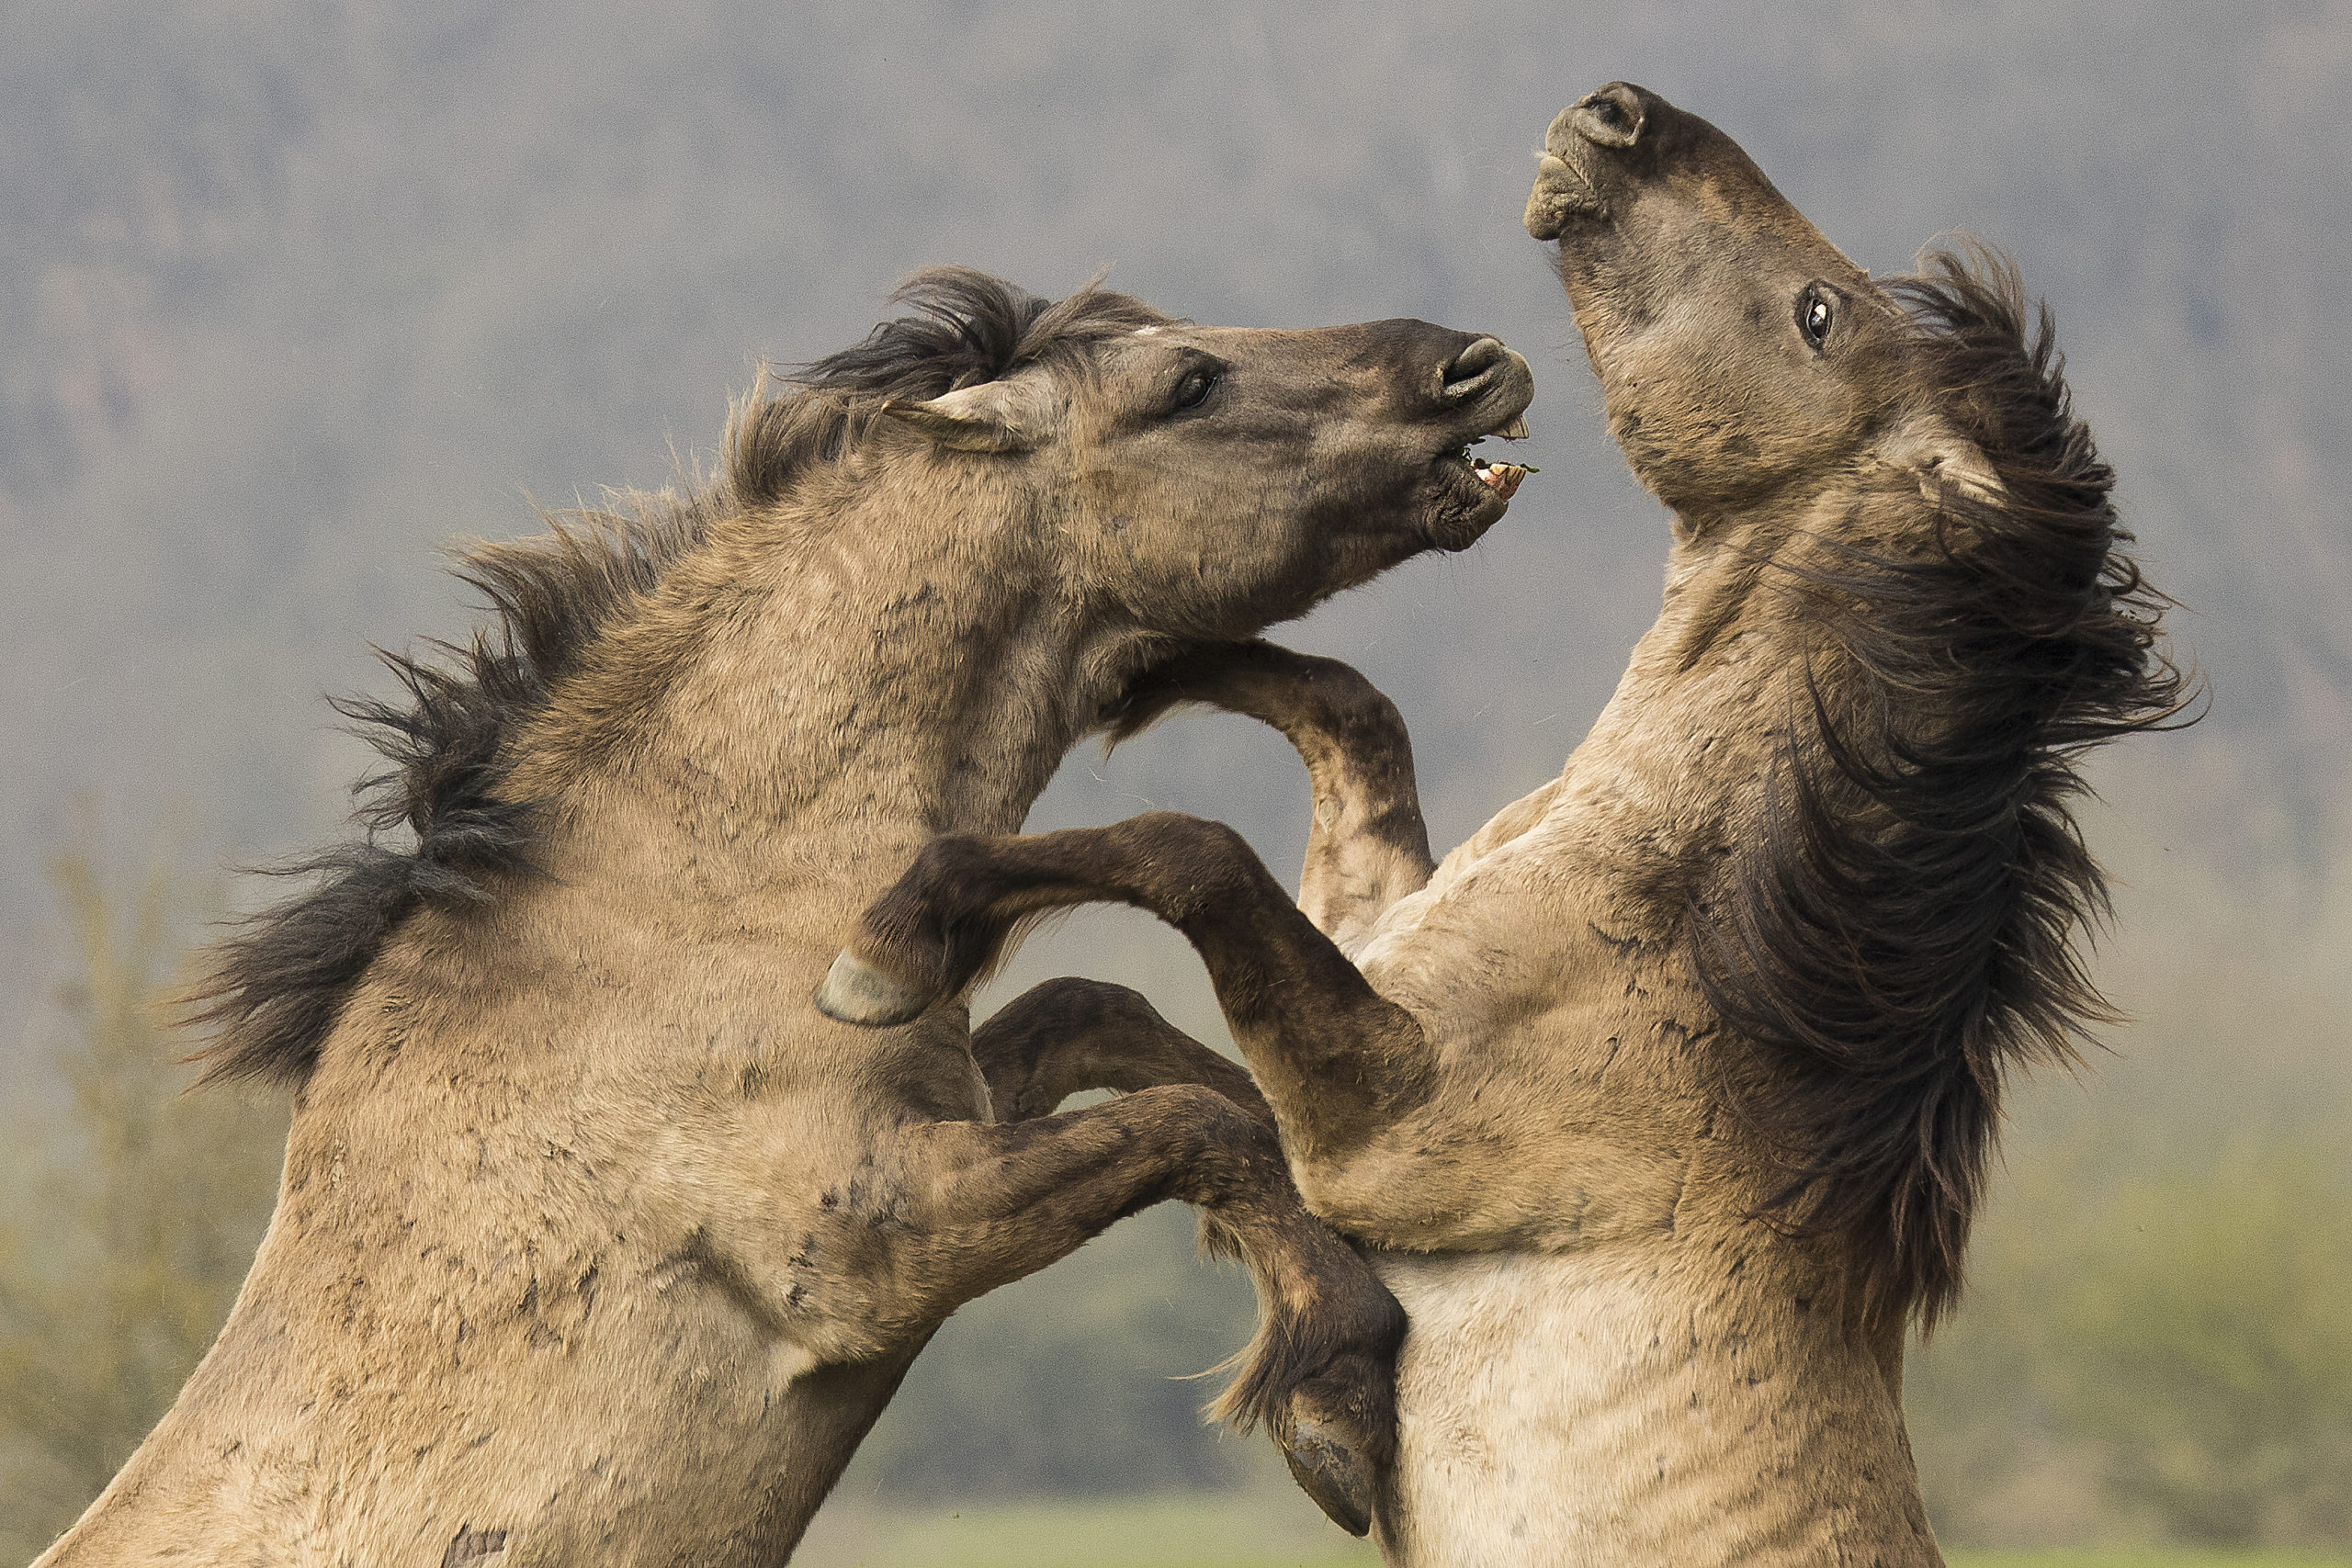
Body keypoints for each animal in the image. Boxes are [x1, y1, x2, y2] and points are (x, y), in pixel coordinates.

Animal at [45, 272, 1543, 1568]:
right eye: (1189, 382)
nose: (1476, 363)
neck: (681, 914)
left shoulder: (947, 1106)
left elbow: (1100, 1019)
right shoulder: (879, 1244)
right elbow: (1193, 1125)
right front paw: (1335, 1395)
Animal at [823, 88, 2182, 1568]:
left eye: (1819, 315)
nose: (1623, 115)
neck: (1687, 932)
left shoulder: (1382, 1123)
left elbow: (1194, 851)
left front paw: (890, 948)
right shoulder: (1360, 1013)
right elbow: (1327, 745)